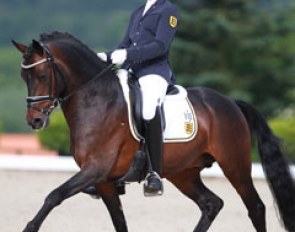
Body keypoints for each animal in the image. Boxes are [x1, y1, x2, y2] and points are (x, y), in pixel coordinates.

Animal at [12, 31, 295, 232]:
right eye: (23, 77)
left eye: (41, 75)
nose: (34, 120)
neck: (97, 100)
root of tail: (230, 102)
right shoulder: (104, 181)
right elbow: (119, 222)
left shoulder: (96, 169)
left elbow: (54, 196)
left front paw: (29, 227)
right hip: (184, 172)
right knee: (211, 204)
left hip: (234, 165)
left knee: (255, 207)